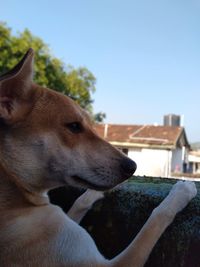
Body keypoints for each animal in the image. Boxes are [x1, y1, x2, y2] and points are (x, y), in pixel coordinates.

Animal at [0, 48, 197, 267]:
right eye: (74, 126)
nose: (133, 167)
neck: (16, 187)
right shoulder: (111, 263)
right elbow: (155, 219)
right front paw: (180, 193)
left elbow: (78, 204)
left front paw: (91, 195)